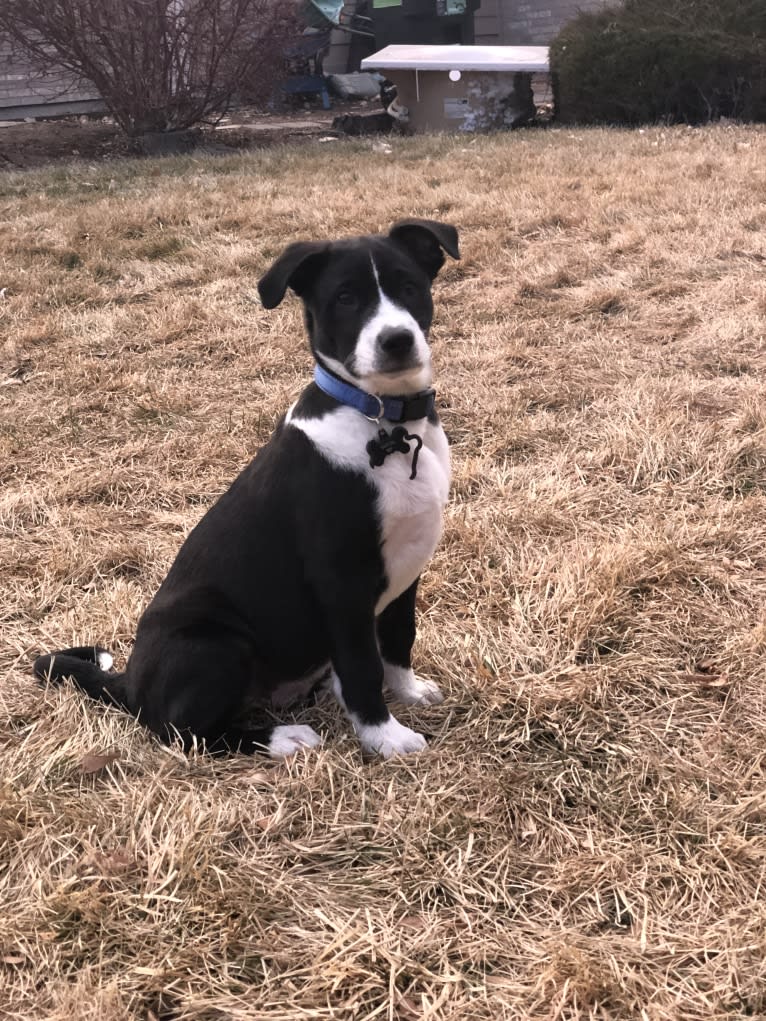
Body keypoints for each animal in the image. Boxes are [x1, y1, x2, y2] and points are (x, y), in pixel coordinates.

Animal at [32, 217, 459, 759]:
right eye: (345, 298)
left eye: (409, 286)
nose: (397, 340)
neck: (383, 420)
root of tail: (129, 683)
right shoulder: (342, 583)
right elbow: (363, 665)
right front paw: (385, 736)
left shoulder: (407, 566)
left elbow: (399, 639)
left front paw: (408, 691)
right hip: (216, 642)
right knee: (186, 731)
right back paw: (284, 738)